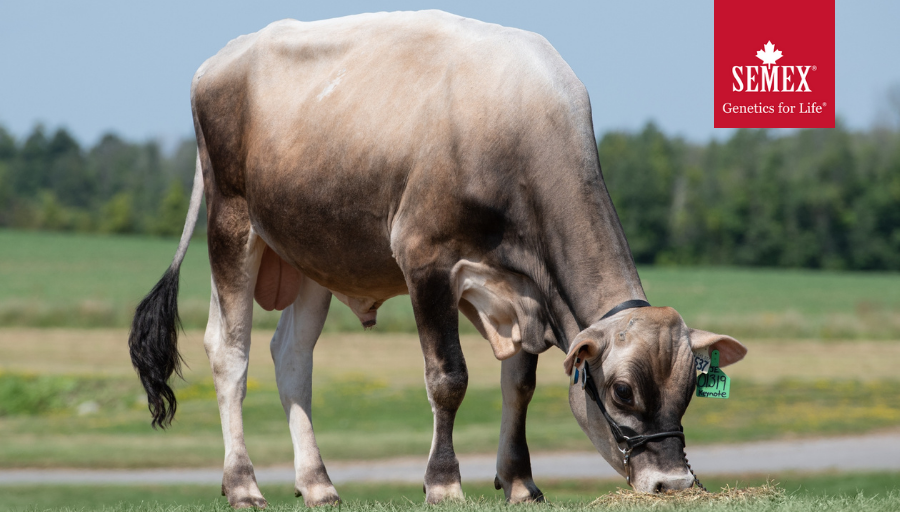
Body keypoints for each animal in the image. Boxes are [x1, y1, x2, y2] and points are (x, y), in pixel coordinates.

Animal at [128, 10, 747, 508]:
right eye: (621, 391)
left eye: (689, 389)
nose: (673, 483)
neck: (518, 124)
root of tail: (222, 58)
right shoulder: (425, 260)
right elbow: (449, 377)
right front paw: (443, 483)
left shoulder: (524, 291)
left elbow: (519, 384)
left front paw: (518, 481)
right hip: (232, 224)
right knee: (229, 352)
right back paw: (243, 484)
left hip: (311, 250)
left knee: (292, 356)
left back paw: (319, 483)